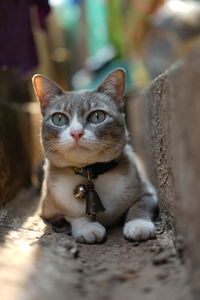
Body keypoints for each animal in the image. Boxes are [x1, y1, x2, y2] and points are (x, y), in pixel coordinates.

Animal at [32, 69, 158, 245]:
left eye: (97, 116)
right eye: (59, 119)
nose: (76, 133)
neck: (90, 173)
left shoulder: (149, 192)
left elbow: (140, 205)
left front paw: (138, 225)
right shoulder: (47, 211)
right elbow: (72, 215)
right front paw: (88, 228)